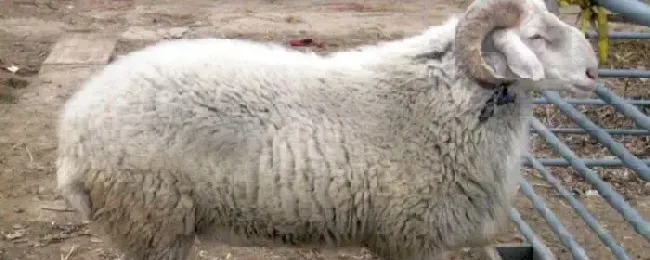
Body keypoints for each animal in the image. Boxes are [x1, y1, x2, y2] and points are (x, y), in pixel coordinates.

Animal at [55, 0, 596, 258]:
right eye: (536, 37)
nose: (594, 72)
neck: (444, 101)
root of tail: (74, 127)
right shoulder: (411, 237)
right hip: (152, 222)